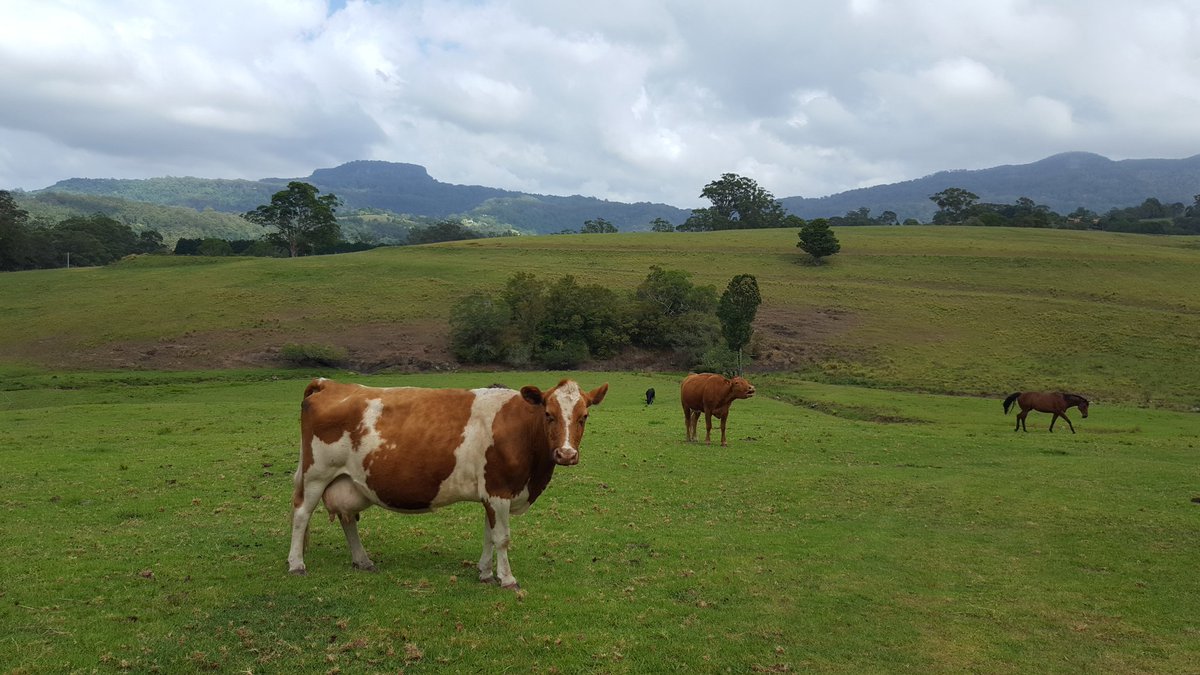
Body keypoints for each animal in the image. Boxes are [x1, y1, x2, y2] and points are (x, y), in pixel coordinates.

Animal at [288, 377, 608, 589]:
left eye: (584, 416)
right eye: (549, 414)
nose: (566, 454)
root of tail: (331, 384)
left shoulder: (490, 494)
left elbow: (488, 535)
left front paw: (484, 572)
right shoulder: (499, 490)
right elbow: (502, 537)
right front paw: (507, 579)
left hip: (348, 481)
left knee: (347, 518)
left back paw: (362, 560)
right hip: (316, 474)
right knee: (301, 514)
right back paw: (296, 564)